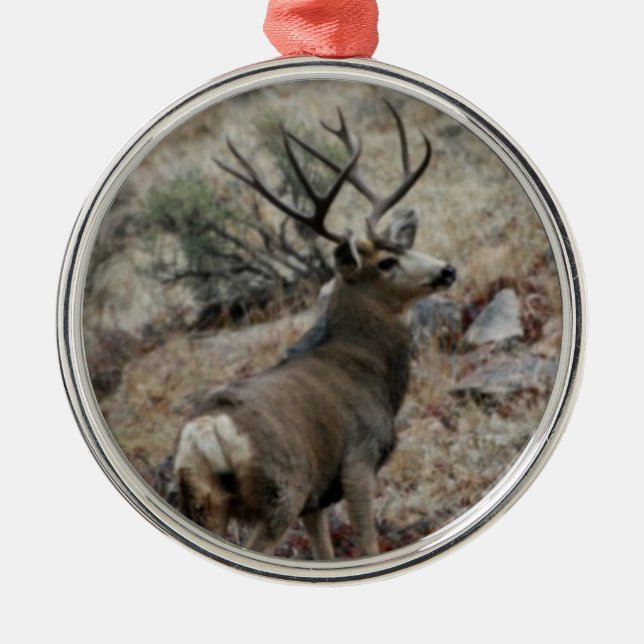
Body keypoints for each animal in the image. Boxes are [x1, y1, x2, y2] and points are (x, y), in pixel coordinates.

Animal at [173, 102, 457, 559]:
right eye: (385, 262)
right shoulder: (357, 461)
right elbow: (367, 545)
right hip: (279, 492)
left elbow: (324, 556)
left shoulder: (315, 500)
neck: (366, 366)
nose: (447, 270)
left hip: (205, 500)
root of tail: (205, 432)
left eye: (405, 245)